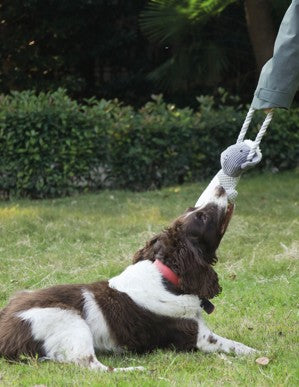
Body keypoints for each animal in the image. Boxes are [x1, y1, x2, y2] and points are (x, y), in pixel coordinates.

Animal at [0, 185, 256, 372]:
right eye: (202, 216)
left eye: (193, 208)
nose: (221, 187)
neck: (167, 277)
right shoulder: (197, 337)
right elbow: (235, 346)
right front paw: (257, 354)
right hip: (70, 321)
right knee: (92, 366)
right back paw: (138, 370)